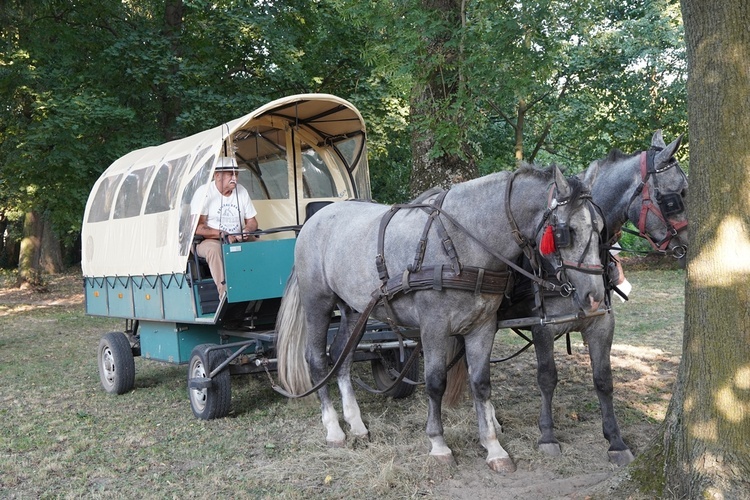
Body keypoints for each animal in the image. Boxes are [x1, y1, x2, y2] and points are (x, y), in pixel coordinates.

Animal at [502, 131, 692, 466]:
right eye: (675, 196)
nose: (695, 240)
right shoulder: (542, 327)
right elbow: (547, 377)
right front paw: (547, 434)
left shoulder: (601, 322)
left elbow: (604, 379)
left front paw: (615, 440)